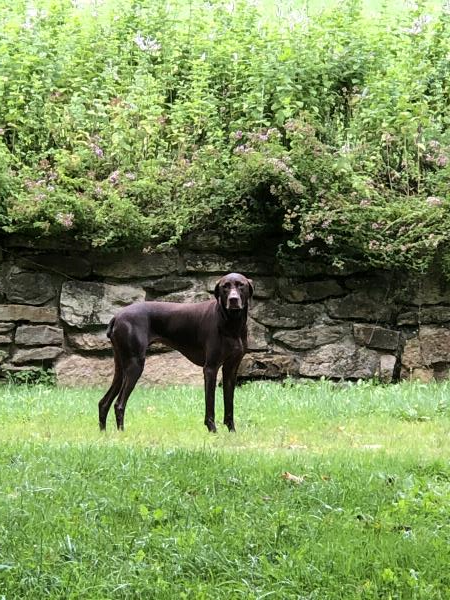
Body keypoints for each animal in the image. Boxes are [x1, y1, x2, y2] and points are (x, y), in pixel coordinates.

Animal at [98, 274, 253, 434]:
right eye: (225, 286)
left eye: (241, 285)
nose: (233, 299)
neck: (231, 324)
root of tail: (117, 316)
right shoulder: (211, 368)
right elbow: (210, 405)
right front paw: (213, 431)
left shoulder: (231, 369)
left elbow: (229, 405)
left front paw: (232, 431)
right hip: (135, 365)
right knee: (119, 404)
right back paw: (121, 433)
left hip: (122, 368)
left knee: (104, 403)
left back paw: (105, 433)